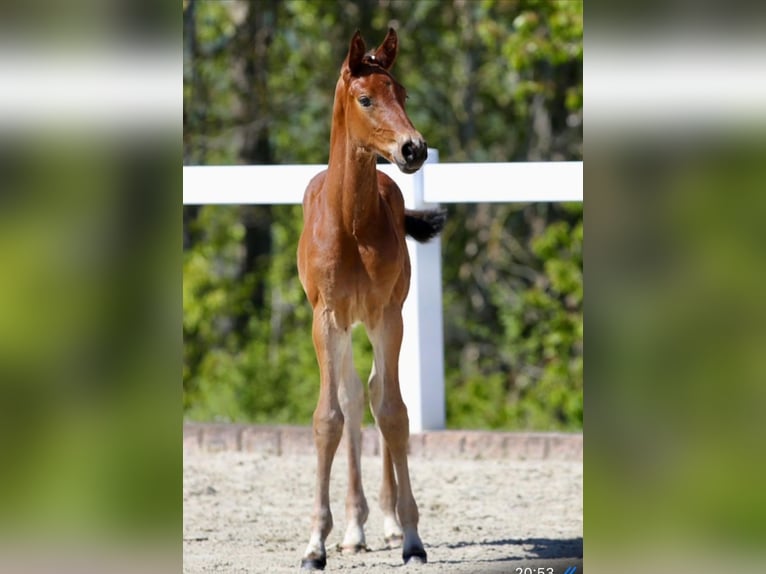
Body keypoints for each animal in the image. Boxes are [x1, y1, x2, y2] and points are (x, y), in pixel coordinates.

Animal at [296, 28, 448, 572]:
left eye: (401, 93)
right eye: (366, 98)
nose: (413, 148)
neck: (351, 223)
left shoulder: (387, 316)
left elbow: (395, 413)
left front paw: (412, 537)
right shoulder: (326, 319)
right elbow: (329, 418)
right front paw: (315, 544)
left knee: (377, 394)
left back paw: (383, 522)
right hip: (344, 326)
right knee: (353, 398)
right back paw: (354, 528)